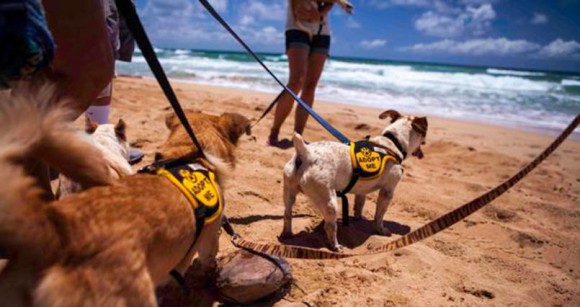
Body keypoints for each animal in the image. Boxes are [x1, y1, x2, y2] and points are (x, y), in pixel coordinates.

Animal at [280, 110, 426, 253]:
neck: (392, 142)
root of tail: (306, 153)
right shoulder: (387, 192)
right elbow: (379, 216)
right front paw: (381, 230)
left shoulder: (362, 191)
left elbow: (359, 204)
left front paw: (358, 217)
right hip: (329, 202)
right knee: (330, 226)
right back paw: (335, 246)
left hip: (289, 192)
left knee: (287, 214)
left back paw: (287, 234)